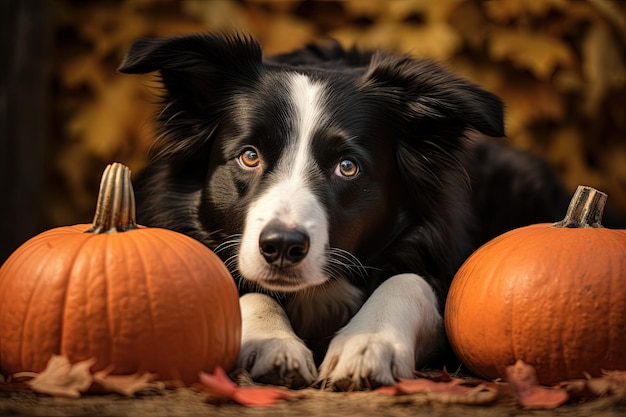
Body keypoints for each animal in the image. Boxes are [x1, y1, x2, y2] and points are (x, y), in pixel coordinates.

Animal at [117, 32, 564, 390]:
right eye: (249, 156)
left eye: (347, 167)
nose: (282, 247)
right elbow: (235, 286)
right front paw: (274, 342)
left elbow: (408, 281)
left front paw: (367, 343)